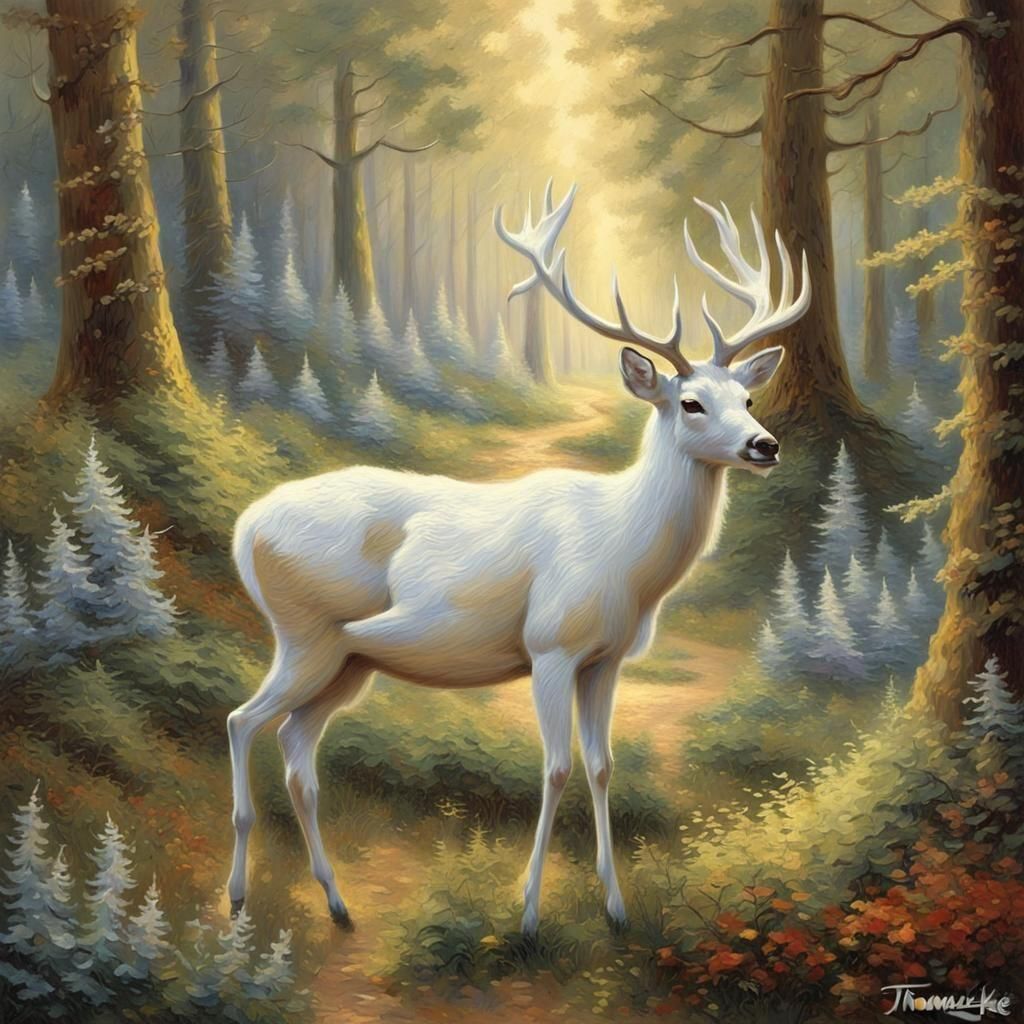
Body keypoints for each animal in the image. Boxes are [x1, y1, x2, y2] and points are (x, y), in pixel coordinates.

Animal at [225, 181, 811, 934]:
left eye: (747, 395)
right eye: (690, 402)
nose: (765, 444)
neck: (626, 559)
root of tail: (245, 529)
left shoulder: (606, 658)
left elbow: (601, 766)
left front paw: (616, 906)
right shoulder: (550, 644)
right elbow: (556, 768)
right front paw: (529, 911)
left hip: (346, 660)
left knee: (296, 753)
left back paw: (337, 902)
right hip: (304, 632)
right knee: (243, 722)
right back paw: (239, 894)